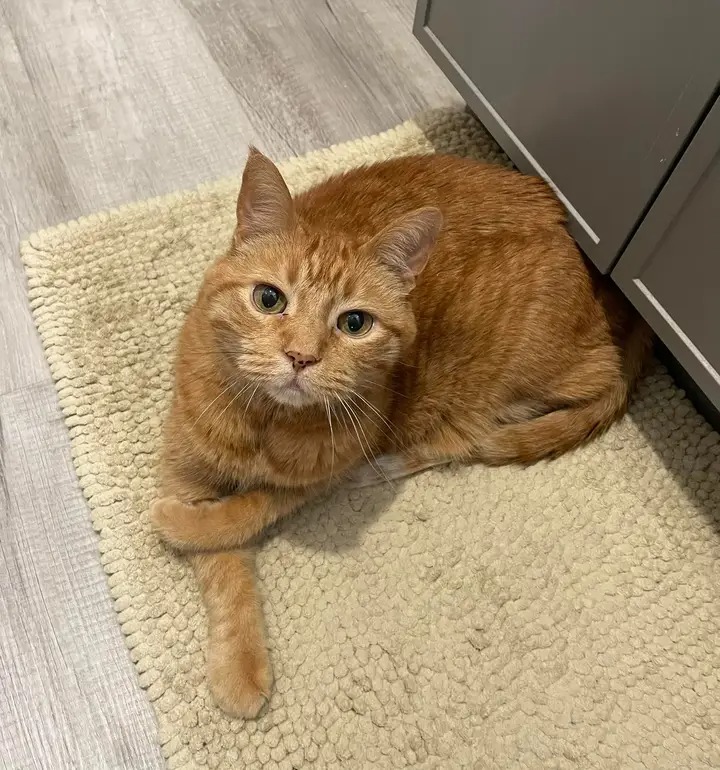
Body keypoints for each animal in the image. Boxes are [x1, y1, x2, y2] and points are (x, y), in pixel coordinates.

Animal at [152, 147, 651, 717]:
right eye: (269, 299)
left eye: (354, 324)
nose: (301, 357)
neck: (267, 422)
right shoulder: (185, 470)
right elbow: (222, 566)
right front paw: (238, 666)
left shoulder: (316, 478)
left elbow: (241, 513)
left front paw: (177, 523)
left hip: (512, 379)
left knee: (526, 413)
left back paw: (393, 462)